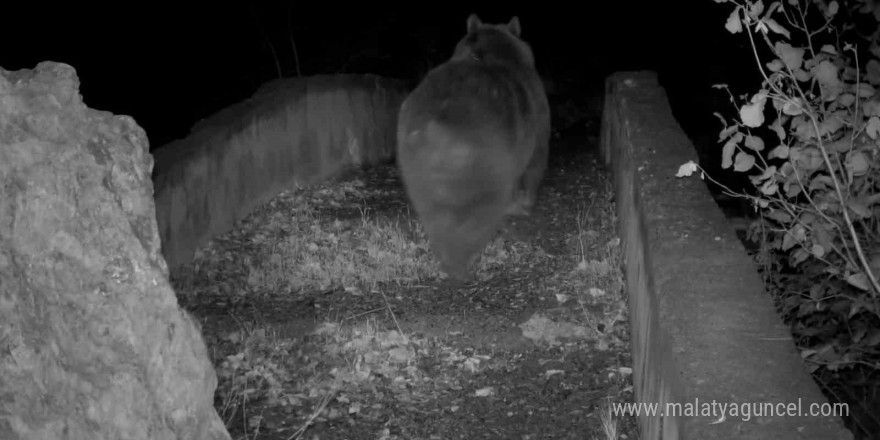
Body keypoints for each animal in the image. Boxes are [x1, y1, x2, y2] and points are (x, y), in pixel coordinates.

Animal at [394, 14, 548, 282]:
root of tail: (438, 122)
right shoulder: (537, 124)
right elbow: (534, 166)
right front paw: (523, 205)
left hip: (412, 156)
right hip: (483, 153)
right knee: (478, 208)